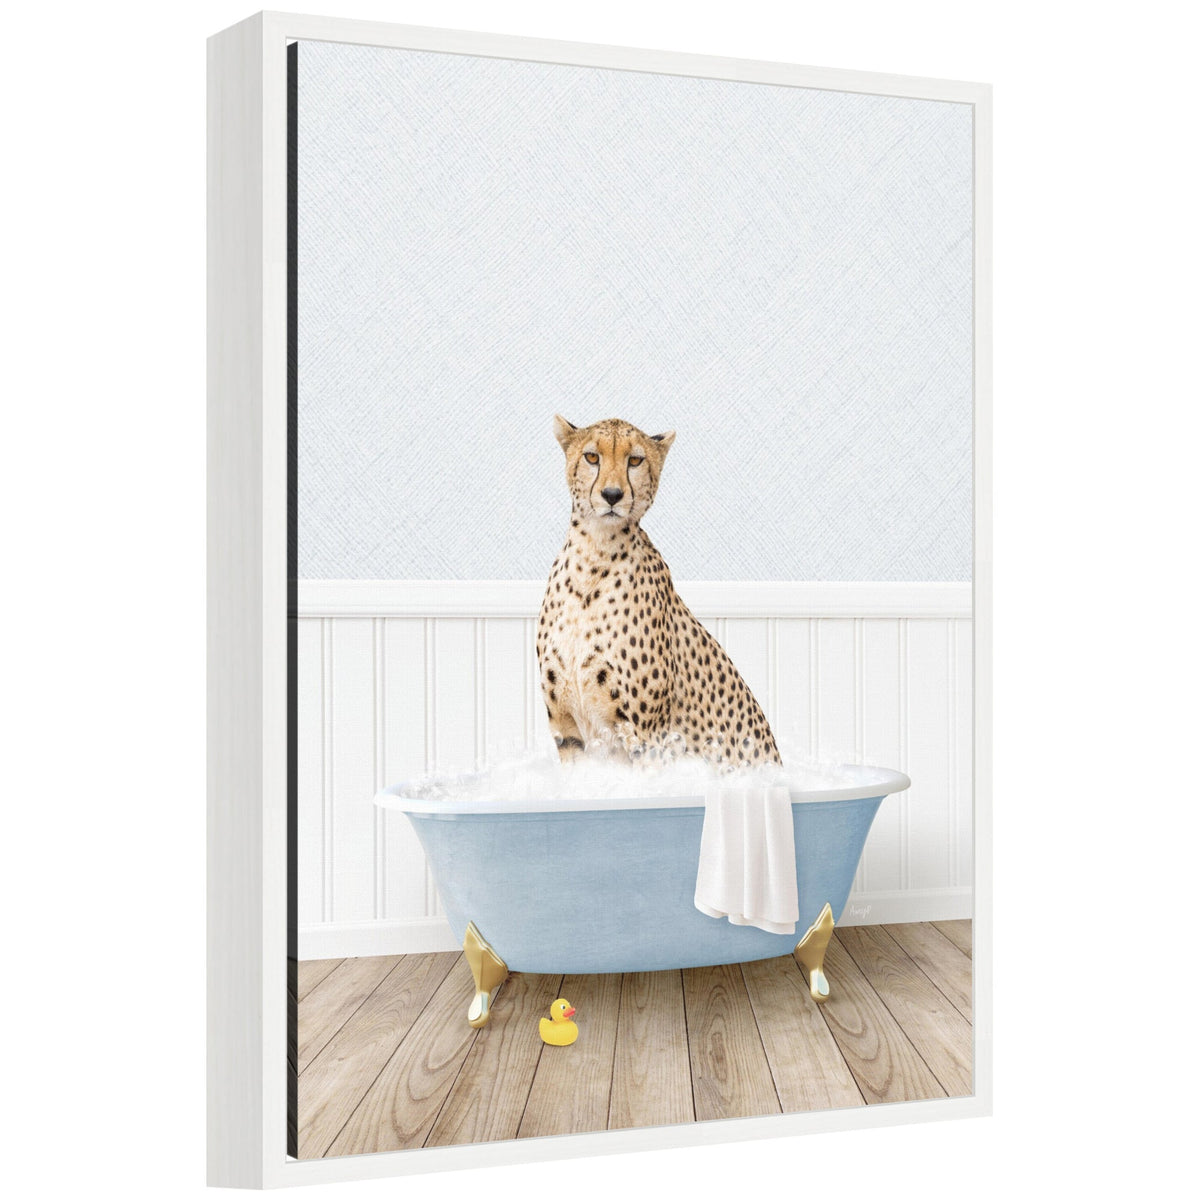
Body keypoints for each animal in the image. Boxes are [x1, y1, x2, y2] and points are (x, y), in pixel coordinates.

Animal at [536, 414, 782, 768]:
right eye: (592, 457)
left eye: (635, 460)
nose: (612, 494)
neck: (594, 553)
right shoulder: (566, 729)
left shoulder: (647, 736)